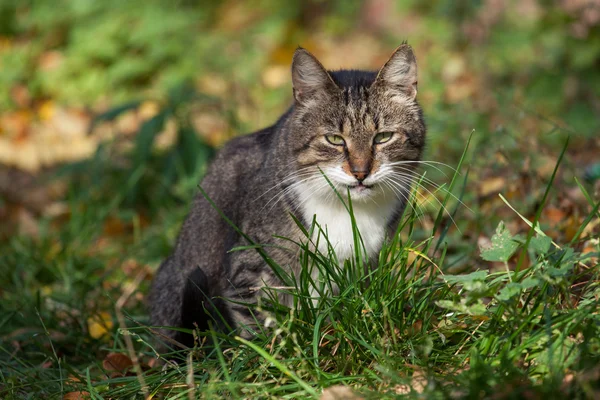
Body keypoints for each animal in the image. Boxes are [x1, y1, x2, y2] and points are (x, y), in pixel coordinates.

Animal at [148, 43, 424, 348]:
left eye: (383, 137)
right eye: (334, 139)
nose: (361, 172)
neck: (348, 210)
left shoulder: (367, 264)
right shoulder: (250, 267)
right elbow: (255, 321)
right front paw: (271, 353)